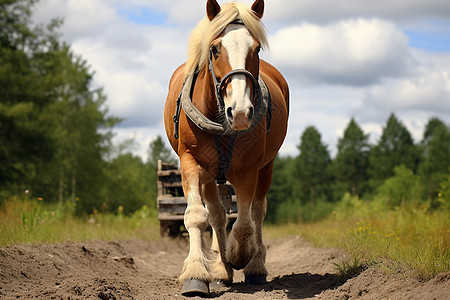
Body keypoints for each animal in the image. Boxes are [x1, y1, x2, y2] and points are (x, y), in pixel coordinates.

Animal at [164, 0, 288, 296]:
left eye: (256, 49)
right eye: (215, 49)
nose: (240, 112)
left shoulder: (248, 169)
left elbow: (244, 223)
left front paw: (239, 256)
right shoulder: (190, 164)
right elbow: (197, 216)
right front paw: (197, 274)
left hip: (266, 167)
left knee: (257, 211)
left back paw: (254, 265)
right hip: (211, 175)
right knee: (218, 216)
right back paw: (221, 270)